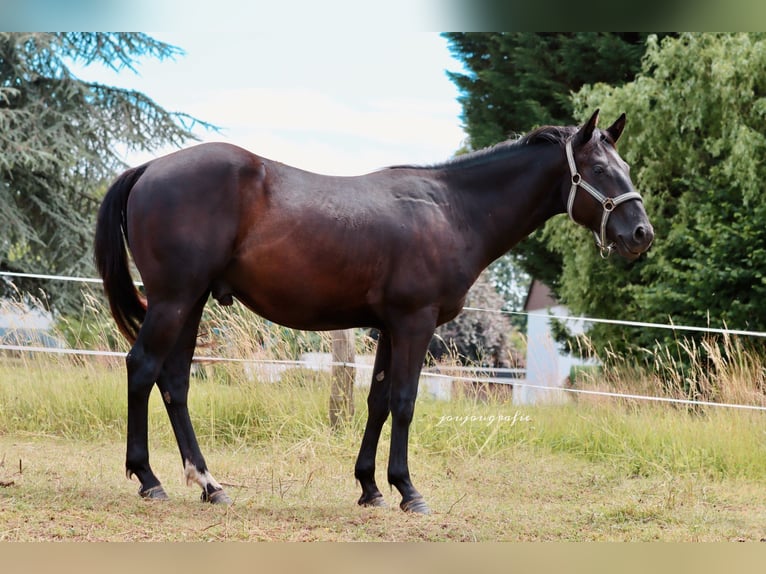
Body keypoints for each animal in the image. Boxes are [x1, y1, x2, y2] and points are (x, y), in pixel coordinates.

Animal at [94, 109, 653, 514]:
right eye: (599, 170)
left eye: (625, 169)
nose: (640, 234)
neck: (452, 210)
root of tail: (148, 168)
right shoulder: (414, 322)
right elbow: (404, 402)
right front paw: (408, 491)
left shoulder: (388, 327)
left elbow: (378, 402)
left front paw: (370, 487)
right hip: (173, 299)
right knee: (142, 368)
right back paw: (149, 479)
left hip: (191, 302)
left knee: (175, 382)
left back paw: (209, 484)